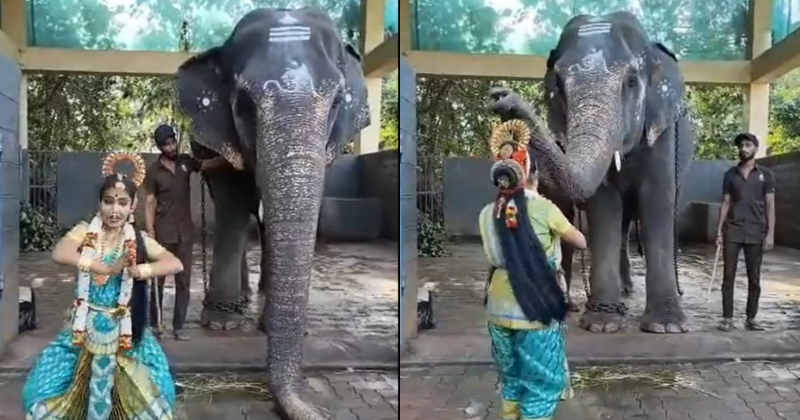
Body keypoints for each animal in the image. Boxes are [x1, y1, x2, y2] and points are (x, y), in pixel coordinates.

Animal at [177, 7, 370, 420]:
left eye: (335, 103)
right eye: (243, 105)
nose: (317, 411)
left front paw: (269, 323)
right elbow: (233, 194)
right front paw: (221, 324)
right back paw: (235, 307)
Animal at [488, 10, 692, 334]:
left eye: (631, 82)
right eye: (558, 84)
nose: (501, 96)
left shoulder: (662, 129)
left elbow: (657, 200)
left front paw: (666, 327)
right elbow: (604, 205)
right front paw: (603, 325)